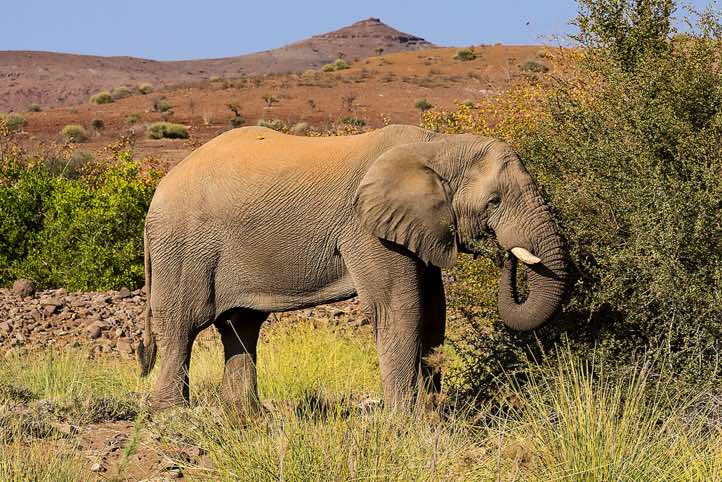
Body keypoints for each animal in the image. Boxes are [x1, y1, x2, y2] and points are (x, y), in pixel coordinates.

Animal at [137, 124, 569, 411]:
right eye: (494, 201)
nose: (503, 254)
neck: (436, 145)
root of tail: (157, 192)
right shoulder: (366, 229)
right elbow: (401, 308)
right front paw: (406, 423)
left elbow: (434, 311)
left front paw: (431, 414)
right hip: (183, 248)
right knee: (182, 326)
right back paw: (173, 413)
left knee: (240, 327)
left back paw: (246, 417)